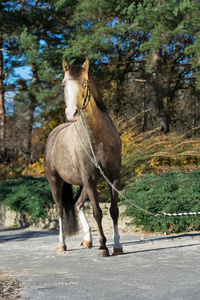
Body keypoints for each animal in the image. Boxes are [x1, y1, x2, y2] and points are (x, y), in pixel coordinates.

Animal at [44, 59, 122, 258]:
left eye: (85, 84)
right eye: (64, 85)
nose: (72, 113)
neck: (98, 139)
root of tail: (54, 134)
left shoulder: (113, 178)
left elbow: (114, 210)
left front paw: (117, 245)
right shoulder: (88, 179)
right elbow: (97, 212)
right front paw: (103, 247)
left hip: (86, 185)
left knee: (78, 205)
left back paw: (88, 240)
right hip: (56, 181)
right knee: (60, 209)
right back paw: (62, 244)